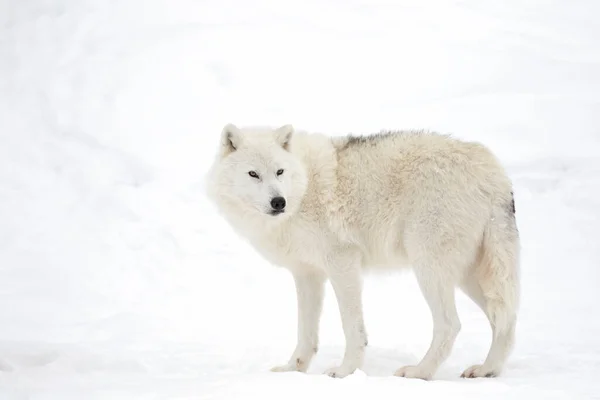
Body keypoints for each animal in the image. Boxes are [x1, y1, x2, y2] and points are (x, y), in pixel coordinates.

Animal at [204, 123, 516, 380]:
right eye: (253, 174)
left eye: (279, 172)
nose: (278, 202)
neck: (303, 189)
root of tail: (494, 172)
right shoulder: (307, 274)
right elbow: (305, 331)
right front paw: (294, 369)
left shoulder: (342, 263)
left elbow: (352, 328)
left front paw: (344, 372)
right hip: (470, 277)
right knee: (505, 319)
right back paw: (486, 370)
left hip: (429, 269)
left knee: (451, 325)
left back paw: (419, 372)